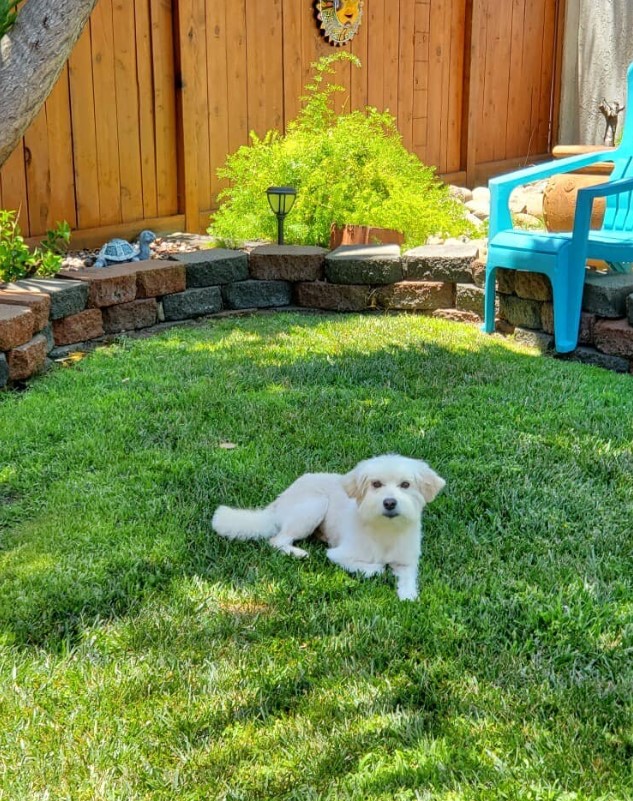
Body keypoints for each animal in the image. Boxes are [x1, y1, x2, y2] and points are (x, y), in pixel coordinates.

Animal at [212, 456, 444, 600]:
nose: (389, 502)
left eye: (405, 485)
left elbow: (408, 578)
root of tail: (281, 498)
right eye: (376, 484)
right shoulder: (338, 555)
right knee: (277, 541)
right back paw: (298, 552)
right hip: (315, 505)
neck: (385, 530)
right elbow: (370, 568)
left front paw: (408, 596)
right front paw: (377, 569)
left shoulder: (407, 561)